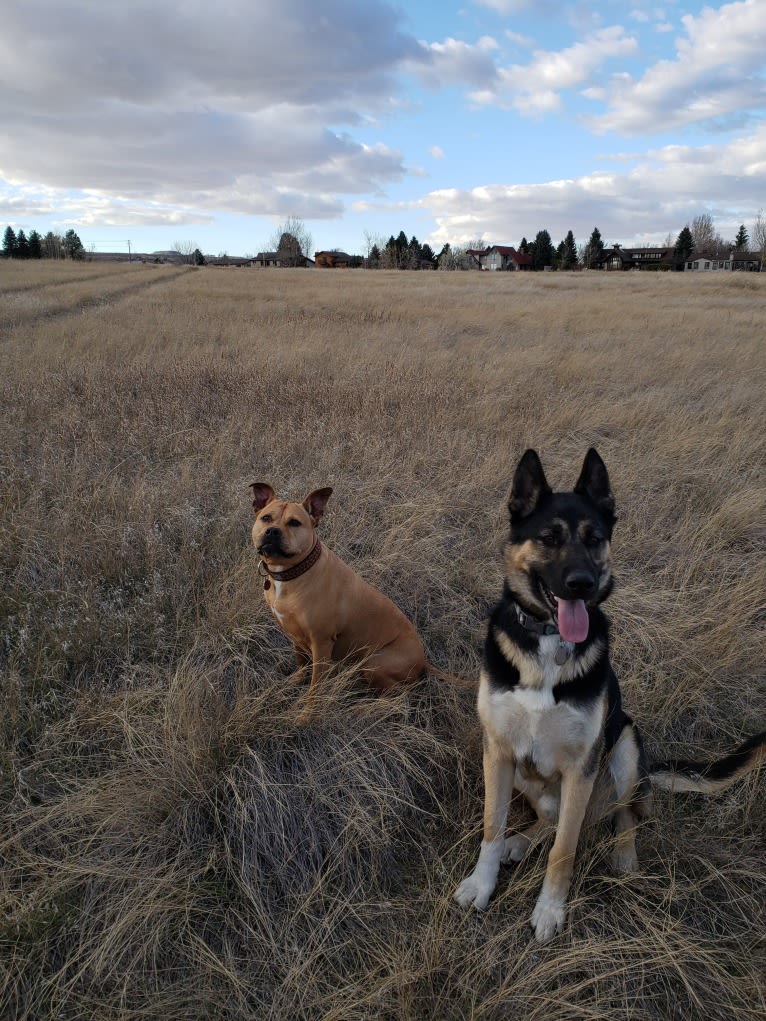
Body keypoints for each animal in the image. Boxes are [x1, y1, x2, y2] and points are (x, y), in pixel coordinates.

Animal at [250, 483, 426, 710]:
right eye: (266, 518)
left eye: (294, 523)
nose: (272, 531)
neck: (294, 573)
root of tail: (424, 661)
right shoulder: (293, 632)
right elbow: (300, 663)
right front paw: (294, 683)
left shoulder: (321, 644)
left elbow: (315, 689)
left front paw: (307, 715)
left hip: (374, 663)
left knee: (399, 696)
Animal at [455, 447, 766, 939]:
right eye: (549, 537)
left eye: (595, 538)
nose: (581, 582)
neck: (550, 641)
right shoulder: (498, 750)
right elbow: (492, 827)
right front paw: (481, 885)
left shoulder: (582, 765)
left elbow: (564, 848)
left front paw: (550, 909)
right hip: (527, 771)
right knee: (549, 818)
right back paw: (521, 841)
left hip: (625, 748)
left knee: (623, 818)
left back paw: (623, 857)